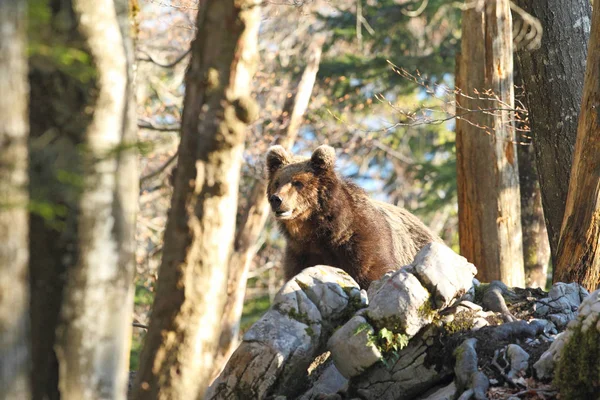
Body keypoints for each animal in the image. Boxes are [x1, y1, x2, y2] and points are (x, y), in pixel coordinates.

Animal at [264, 145, 438, 290]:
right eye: (277, 182)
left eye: (298, 182)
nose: (276, 199)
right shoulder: (300, 252)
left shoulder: (364, 241)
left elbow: (373, 273)